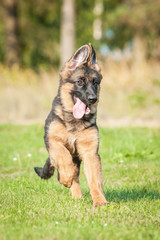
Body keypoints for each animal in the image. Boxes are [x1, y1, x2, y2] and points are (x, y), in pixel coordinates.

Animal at [34, 43, 109, 206]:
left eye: (95, 83)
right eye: (79, 82)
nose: (93, 99)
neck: (74, 121)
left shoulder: (90, 153)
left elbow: (95, 180)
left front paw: (100, 200)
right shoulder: (53, 141)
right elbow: (64, 157)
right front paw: (65, 178)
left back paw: (77, 196)